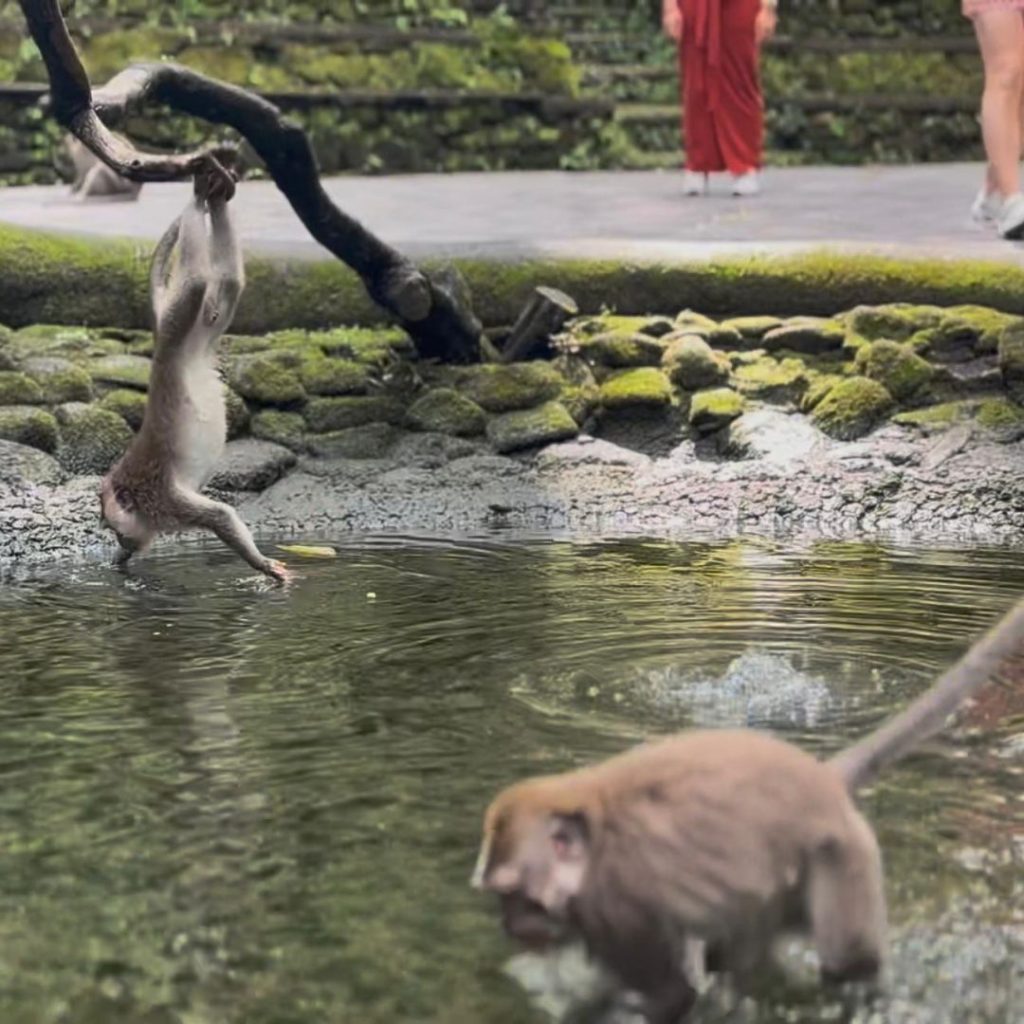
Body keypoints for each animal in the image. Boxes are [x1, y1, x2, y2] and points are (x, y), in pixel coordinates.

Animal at [99, 163, 289, 582]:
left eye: (111, 525)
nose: (118, 540)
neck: (139, 501)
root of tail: (162, 346)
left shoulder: (162, 500)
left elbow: (219, 517)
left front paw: (262, 565)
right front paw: (117, 564)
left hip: (176, 322)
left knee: (197, 280)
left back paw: (197, 196)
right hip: (200, 329)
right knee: (229, 282)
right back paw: (212, 198)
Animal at [472, 597, 1024, 1023]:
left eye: (514, 894)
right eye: (499, 897)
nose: (507, 924)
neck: (592, 838)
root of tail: (820, 777)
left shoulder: (617, 904)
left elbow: (670, 995)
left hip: (841, 858)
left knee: (845, 964)